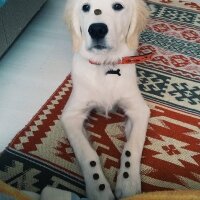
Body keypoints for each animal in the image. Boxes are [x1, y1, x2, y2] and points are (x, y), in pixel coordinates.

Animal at [62, 0, 150, 199]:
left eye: (117, 6)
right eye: (86, 7)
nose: (97, 30)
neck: (105, 66)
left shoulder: (139, 110)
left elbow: (132, 147)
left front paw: (128, 184)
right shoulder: (70, 115)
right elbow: (87, 155)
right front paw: (99, 189)